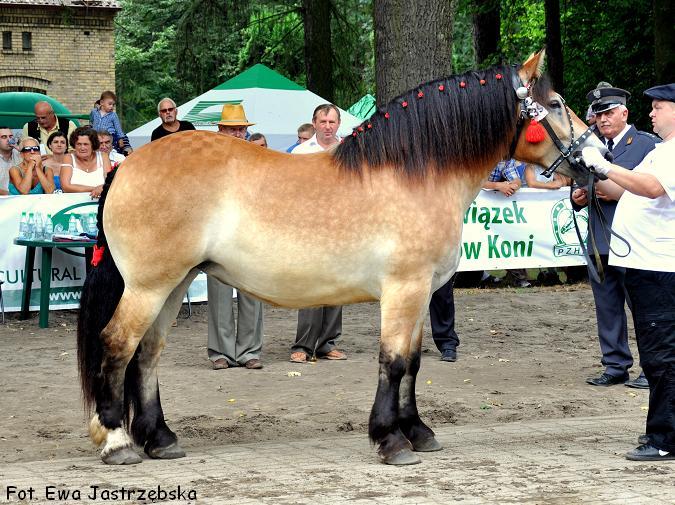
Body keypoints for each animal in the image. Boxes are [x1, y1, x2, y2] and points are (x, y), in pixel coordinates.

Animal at [78, 51, 608, 464]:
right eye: (556, 104)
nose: (599, 158)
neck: (415, 173)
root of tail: (127, 166)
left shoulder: (420, 294)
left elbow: (414, 364)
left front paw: (418, 432)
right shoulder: (404, 289)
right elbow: (393, 362)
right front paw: (390, 441)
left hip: (176, 284)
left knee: (147, 355)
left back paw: (160, 439)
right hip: (149, 286)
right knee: (117, 346)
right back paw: (118, 442)